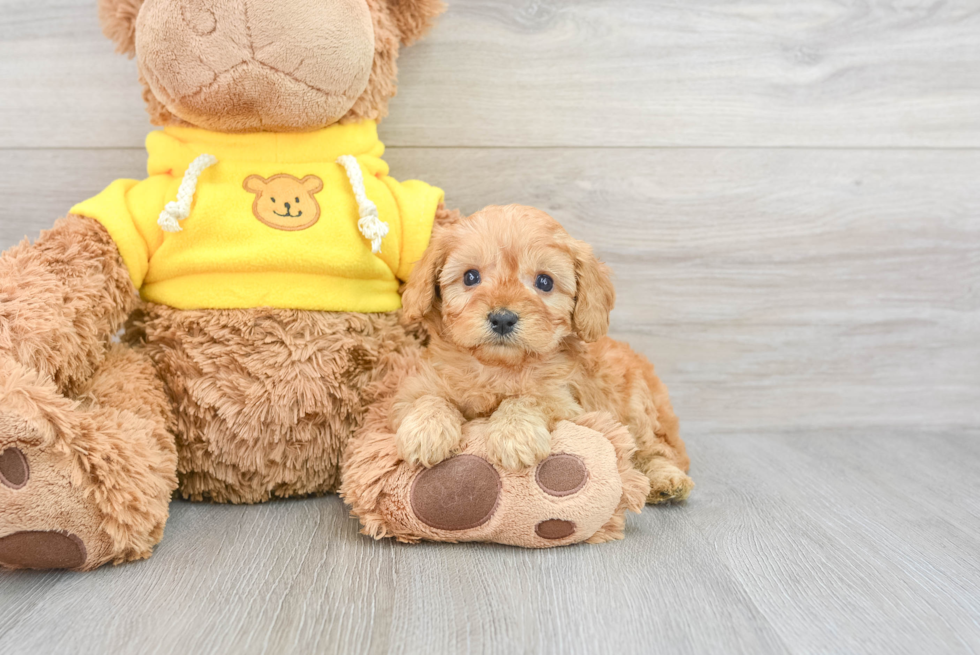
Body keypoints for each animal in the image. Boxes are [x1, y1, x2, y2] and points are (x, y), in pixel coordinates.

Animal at [394, 205, 692, 502]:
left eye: (545, 282)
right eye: (470, 277)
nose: (502, 319)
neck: (498, 366)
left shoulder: (566, 402)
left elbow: (530, 398)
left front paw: (515, 432)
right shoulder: (408, 392)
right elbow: (428, 398)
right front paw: (426, 429)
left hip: (637, 409)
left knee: (657, 448)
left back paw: (667, 479)